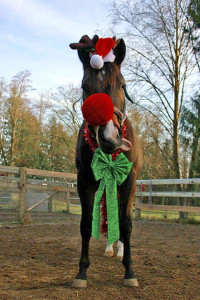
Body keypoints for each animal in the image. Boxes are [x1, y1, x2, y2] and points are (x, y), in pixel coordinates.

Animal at [69, 34, 143, 288]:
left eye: (121, 84)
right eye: (85, 86)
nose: (110, 138)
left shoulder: (128, 182)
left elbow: (127, 224)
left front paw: (129, 271)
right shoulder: (85, 181)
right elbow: (85, 223)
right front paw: (82, 272)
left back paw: (119, 251)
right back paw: (111, 249)